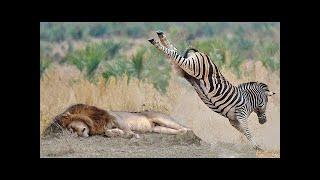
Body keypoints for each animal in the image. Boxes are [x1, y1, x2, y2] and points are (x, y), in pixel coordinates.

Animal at [47, 103, 190, 139]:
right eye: (71, 131)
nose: (80, 134)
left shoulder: (116, 118)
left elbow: (127, 130)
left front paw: (132, 135)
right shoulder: (104, 129)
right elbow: (108, 132)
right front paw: (117, 133)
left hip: (162, 118)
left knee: (184, 127)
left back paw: (189, 132)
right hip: (158, 128)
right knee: (178, 130)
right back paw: (183, 133)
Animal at [148, 31, 276, 150]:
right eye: (267, 102)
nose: (264, 121)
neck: (249, 99)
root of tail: (200, 52)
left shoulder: (233, 121)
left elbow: (243, 131)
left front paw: (255, 145)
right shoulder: (241, 114)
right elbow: (247, 131)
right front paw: (256, 146)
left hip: (182, 69)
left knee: (173, 51)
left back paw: (161, 37)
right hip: (192, 66)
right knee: (174, 54)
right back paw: (156, 42)